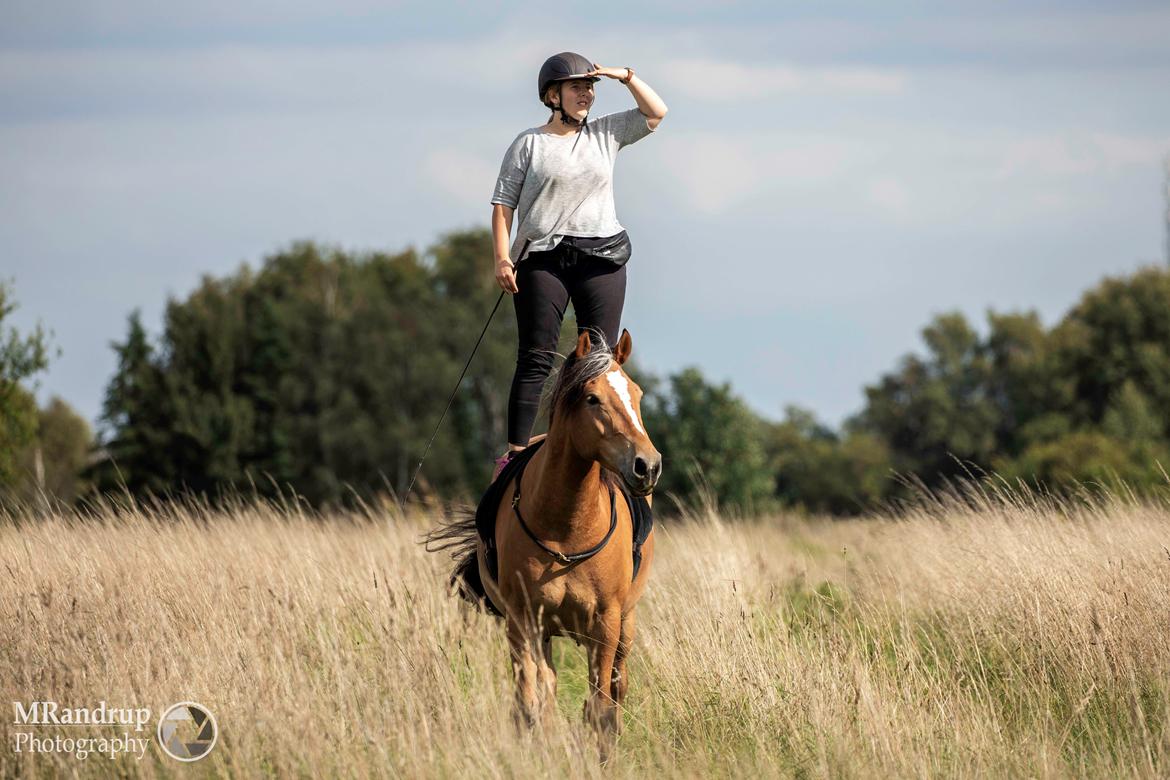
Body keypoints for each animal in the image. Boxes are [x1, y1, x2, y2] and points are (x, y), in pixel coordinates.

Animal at [430, 327, 669, 757]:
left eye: (637, 394)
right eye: (592, 399)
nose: (648, 465)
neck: (567, 528)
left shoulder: (606, 622)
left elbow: (601, 705)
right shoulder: (523, 620)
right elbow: (531, 699)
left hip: (626, 624)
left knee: (617, 683)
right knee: (545, 686)